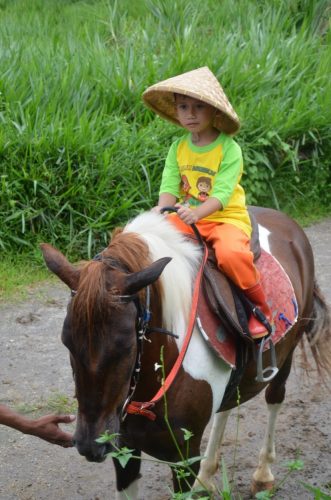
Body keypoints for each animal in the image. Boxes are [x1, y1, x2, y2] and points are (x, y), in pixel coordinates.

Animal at [40, 205, 330, 498]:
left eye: (126, 345)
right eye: (67, 342)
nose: (90, 445)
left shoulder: (183, 458)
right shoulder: (125, 451)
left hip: (286, 356)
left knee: (275, 398)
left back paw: (263, 474)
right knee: (227, 406)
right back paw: (208, 475)